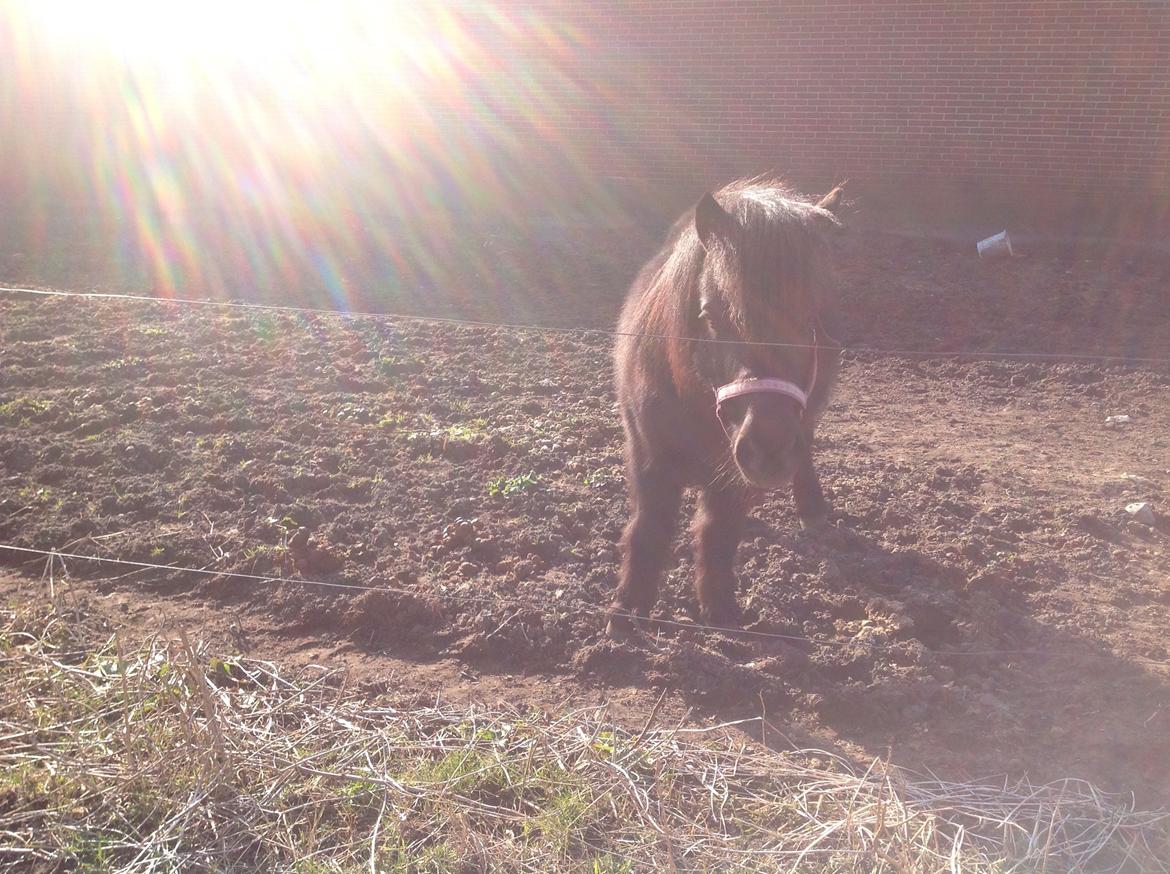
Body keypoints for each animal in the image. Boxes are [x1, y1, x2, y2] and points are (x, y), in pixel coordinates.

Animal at [608, 177, 847, 631]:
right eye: (710, 315)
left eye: (809, 318)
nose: (769, 449)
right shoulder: (648, 455)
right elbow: (649, 529)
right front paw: (628, 611)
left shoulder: (734, 478)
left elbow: (717, 533)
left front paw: (719, 609)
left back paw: (812, 509)